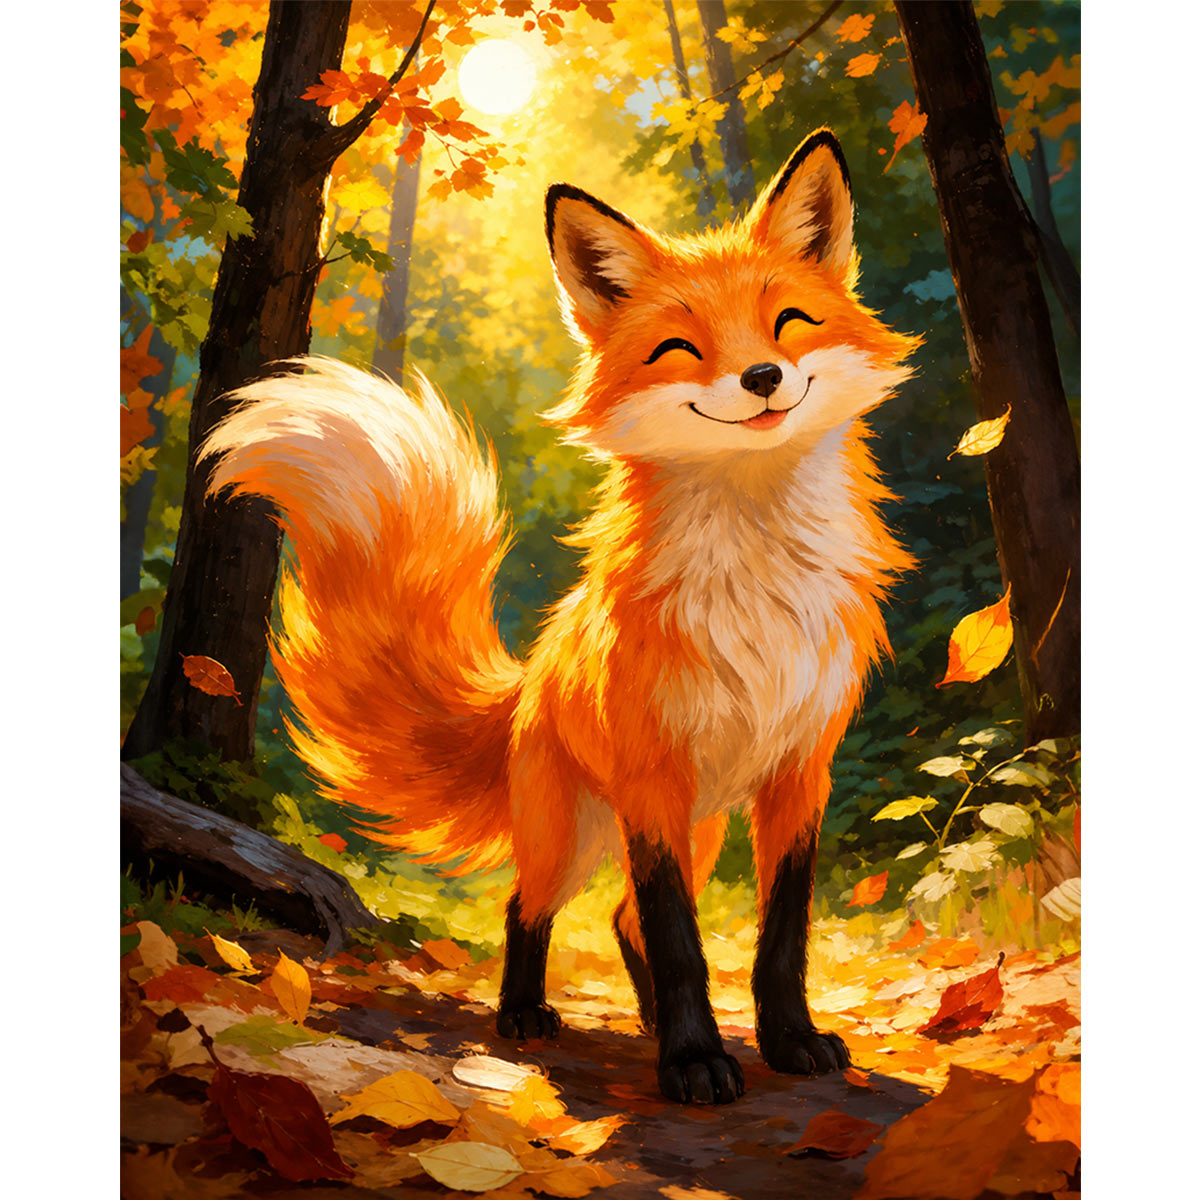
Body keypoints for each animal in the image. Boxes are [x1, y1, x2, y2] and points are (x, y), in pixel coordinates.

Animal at [200, 129, 920, 1105]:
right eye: (680, 346)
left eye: (790, 324)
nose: (763, 377)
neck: (755, 587)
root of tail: (529, 678)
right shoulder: (654, 779)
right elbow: (682, 940)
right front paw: (694, 1062)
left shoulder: (800, 773)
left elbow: (778, 936)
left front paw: (786, 1041)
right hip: (574, 835)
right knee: (530, 905)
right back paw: (525, 1016)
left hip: (700, 827)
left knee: (620, 920)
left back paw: (644, 1022)